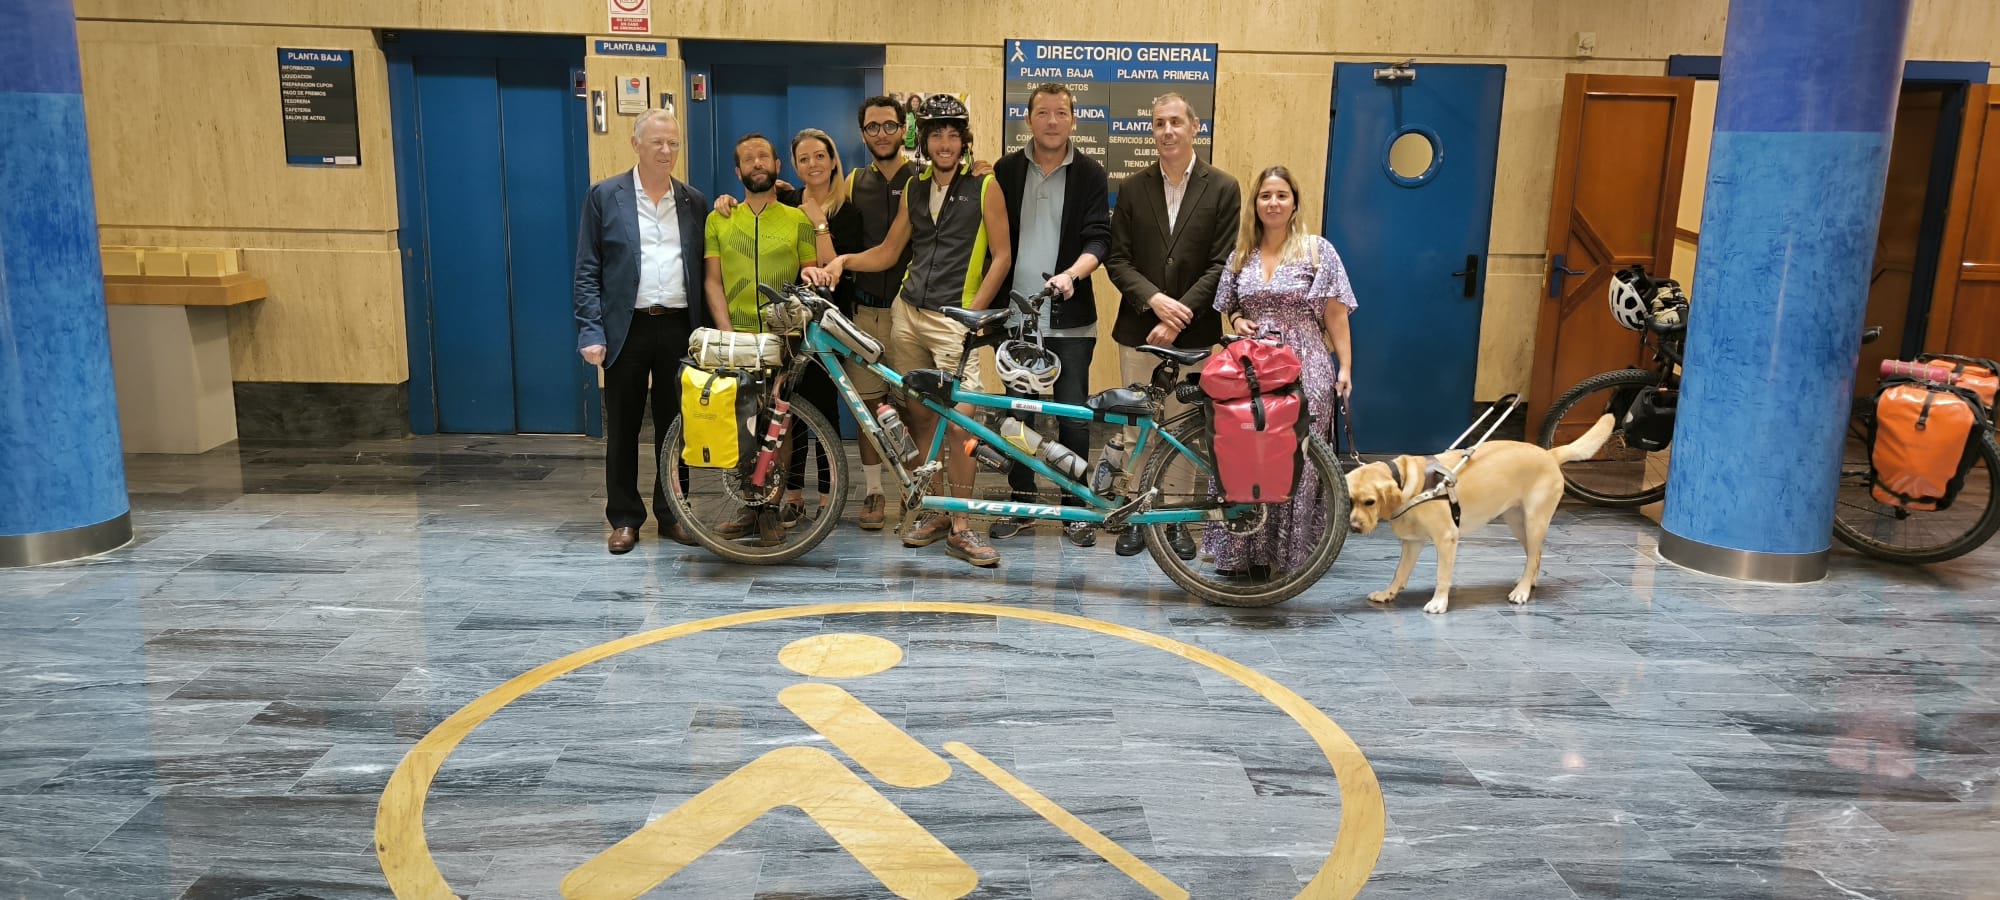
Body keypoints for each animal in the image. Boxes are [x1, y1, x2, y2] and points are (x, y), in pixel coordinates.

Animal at [1344, 414, 1608, 612]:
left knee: (1533, 555)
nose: (1354, 527)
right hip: (1518, 522)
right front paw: (1387, 593)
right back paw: (1529, 582)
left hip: (1535, 521)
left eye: (1370, 502)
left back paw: (1522, 591)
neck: (1409, 481)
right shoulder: (1412, 543)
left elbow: (1442, 575)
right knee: (1537, 555)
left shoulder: (1447, 538)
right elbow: (1399, 572)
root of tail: (1549, 454)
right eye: (1350, 501)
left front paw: (1439, 603)